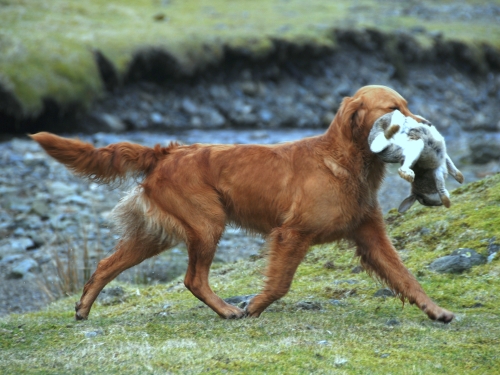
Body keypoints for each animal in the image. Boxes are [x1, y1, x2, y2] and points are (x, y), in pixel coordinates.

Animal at [30, 85, 454, 324]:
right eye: (394, 108)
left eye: (407, 105)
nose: (427, 125)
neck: (345, 161)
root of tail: (166, 152)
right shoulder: (291, 234)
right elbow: (280, 283)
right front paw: (254, 306)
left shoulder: (370, 235)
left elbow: (406, 278)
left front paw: (437, 312)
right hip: (207, 223)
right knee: (193, 279)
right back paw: (228, 311)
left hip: (157, 234)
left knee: (106, 265)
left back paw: (83, 309)